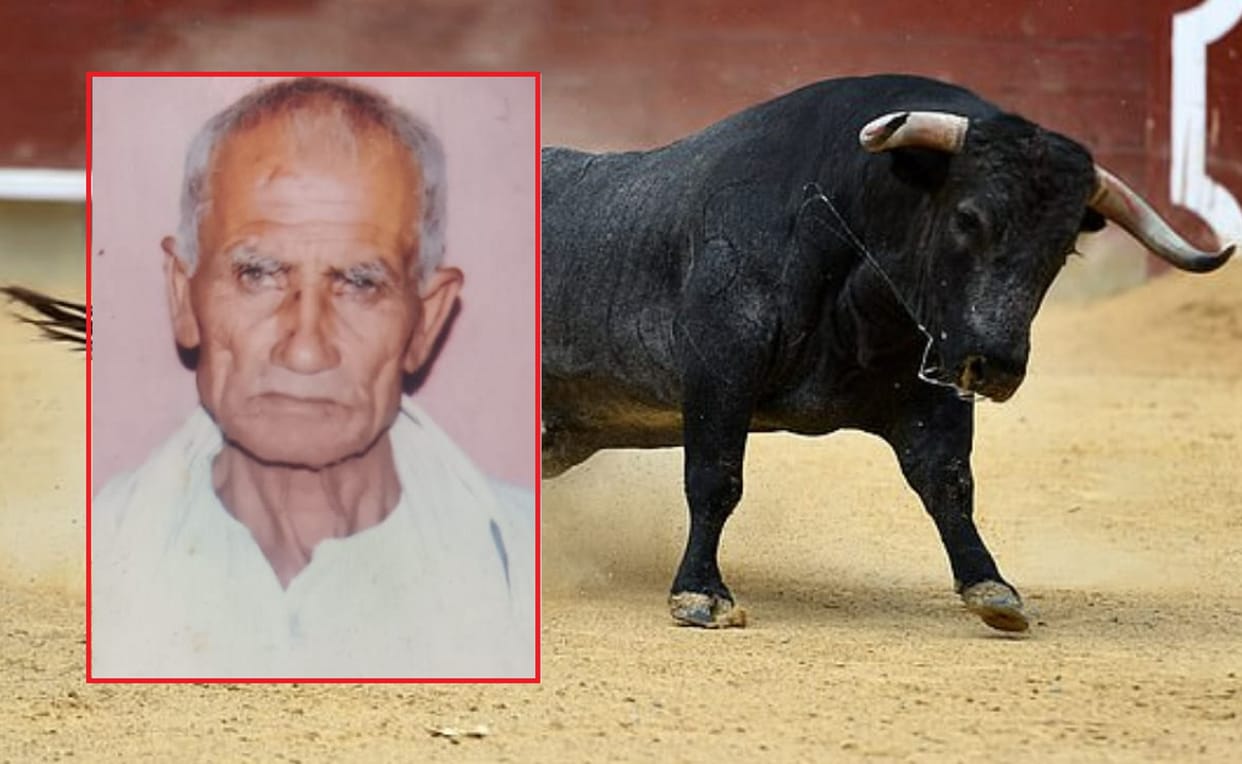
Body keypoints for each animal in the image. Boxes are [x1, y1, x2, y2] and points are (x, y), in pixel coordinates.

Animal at [540, 74, 1234, 633]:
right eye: (968, 218)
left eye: (1062, 249)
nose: (997, 365)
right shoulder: (720, 367)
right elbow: (715, 477)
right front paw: (700, 596)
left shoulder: (930, 385)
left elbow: (949, 483)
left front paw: (991, 588)